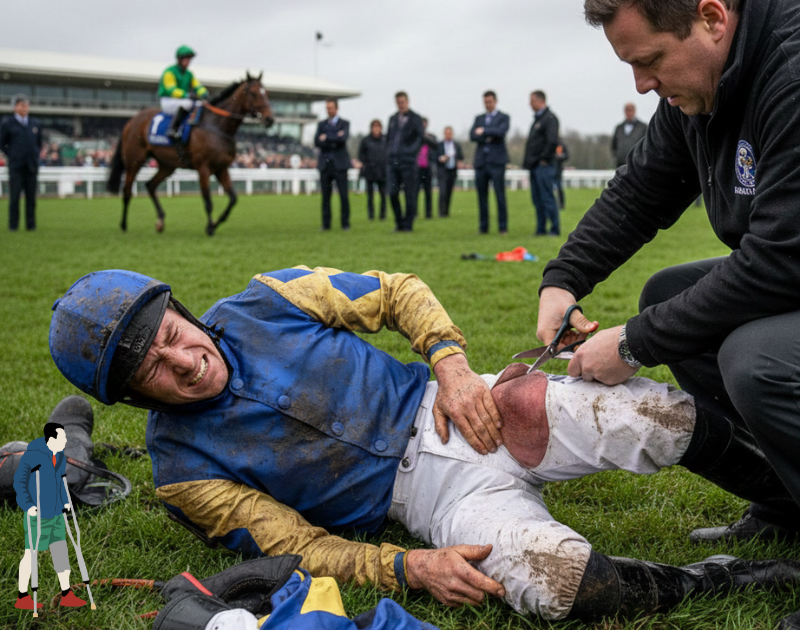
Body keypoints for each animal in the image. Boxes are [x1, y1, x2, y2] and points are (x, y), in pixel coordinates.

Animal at [107, 72, 274, 235]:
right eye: (253, 93)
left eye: (266, 93)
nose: (270, 119)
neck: (216, 126)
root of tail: (131, 121)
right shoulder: (203, 168)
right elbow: (208, 201)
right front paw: (210, 227)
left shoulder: (222, 169)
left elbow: (233, 199)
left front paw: (215, 223)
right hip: (134, 160)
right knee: (127, 191)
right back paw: (123, 225)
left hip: (168, 165)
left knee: (150, 185)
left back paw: (160, 221)